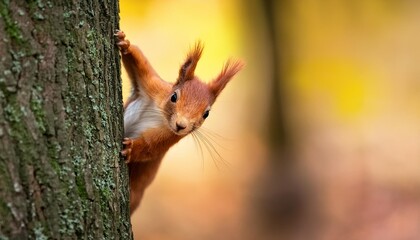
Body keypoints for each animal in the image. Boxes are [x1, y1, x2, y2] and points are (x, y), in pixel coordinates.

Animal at [115, 29, 241, 215]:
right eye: (174, 96)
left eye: (206, 114)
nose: (181, 125)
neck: (162, 116)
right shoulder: (153, 86)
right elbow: (140, 63)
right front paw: (125, 43)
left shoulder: (168, 137)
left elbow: (148, 148)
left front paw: (131, 148)